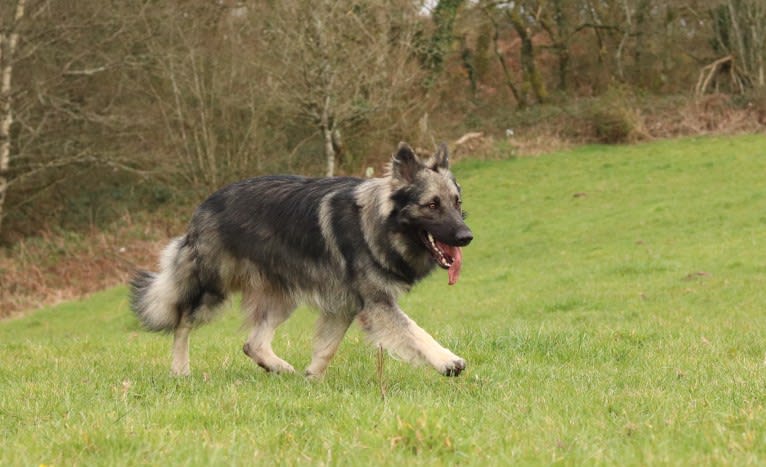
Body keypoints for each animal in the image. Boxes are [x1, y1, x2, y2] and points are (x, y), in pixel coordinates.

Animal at [132, 144, 474, 378]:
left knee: (252, 343)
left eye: (457, 203)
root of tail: (203, 207)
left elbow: (327, 347)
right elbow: (415, 331)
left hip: (283, 297)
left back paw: (279, 368)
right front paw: (446, 360)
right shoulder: (378, 304)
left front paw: (312, 380)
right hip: (213, 290)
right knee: (183, 322)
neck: (378, 224)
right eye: (432, 205)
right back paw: (180, 370)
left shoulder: (345, 305)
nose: (466, 236)